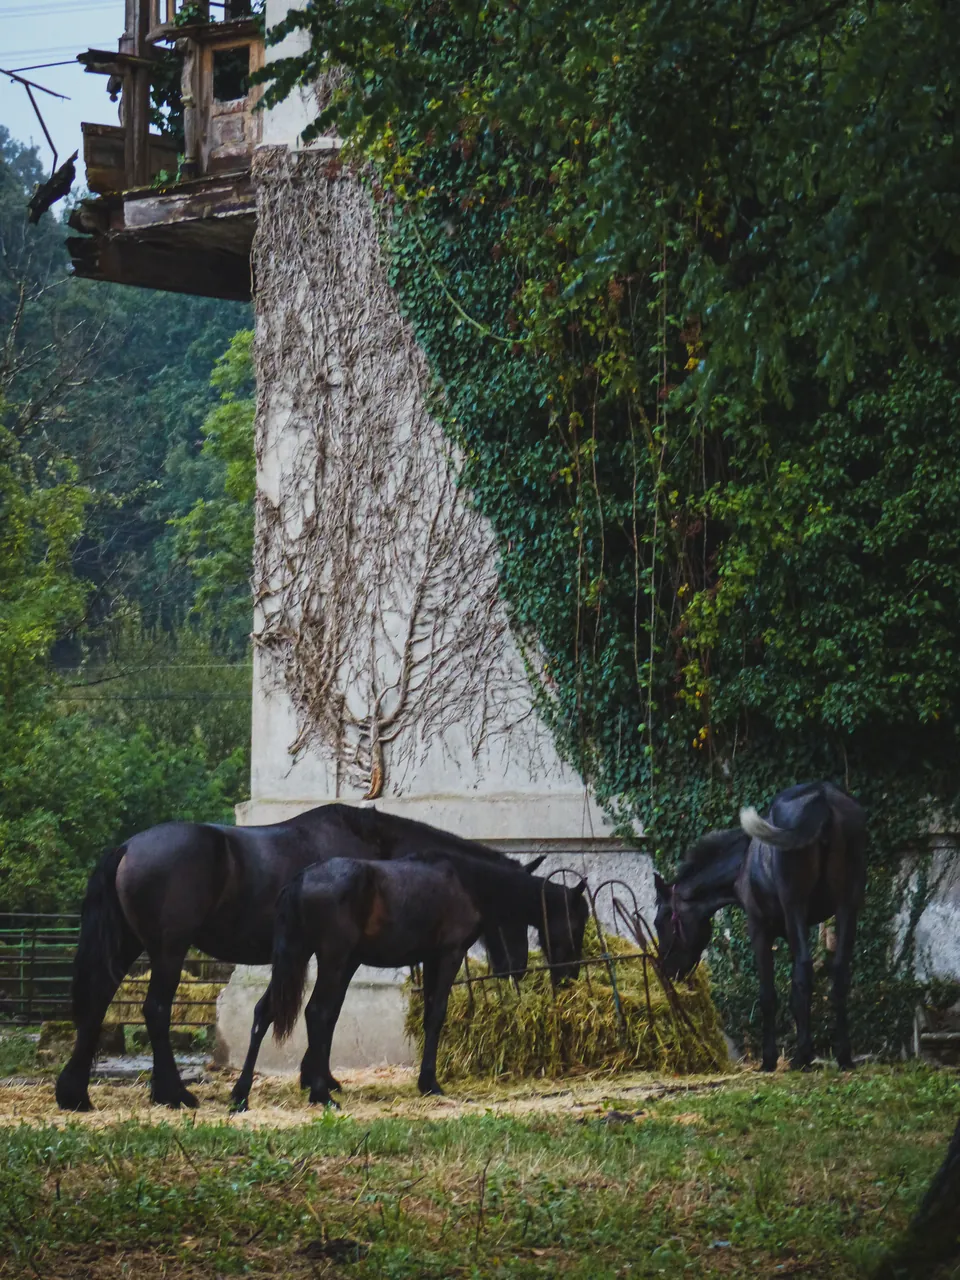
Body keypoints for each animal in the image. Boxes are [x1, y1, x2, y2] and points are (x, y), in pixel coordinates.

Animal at [55, 804, 543, 1112]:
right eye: (515, 911)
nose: (517, 966)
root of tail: (128, 848)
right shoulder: (340, 956)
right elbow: (326, 1011)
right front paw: (317, 1079)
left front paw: (317, 1078)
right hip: (169, 948)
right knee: (155, 1009)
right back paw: (173, 1093)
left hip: (128, 944)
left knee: (97, 1001)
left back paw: (76, 1094)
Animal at [230, 851, 589, 1109]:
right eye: (579, 922)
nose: (569, 976)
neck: (468, 883)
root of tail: (301, 879)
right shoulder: (448, 954)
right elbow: (435, 1015)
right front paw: (429, 1083)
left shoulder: (424, 959)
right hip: (332, 958)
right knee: (316, 1012)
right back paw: (320, 1094)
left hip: (296, 956)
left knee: (267, 1011)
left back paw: (242, 1093)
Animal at [654, 781, 866, 1071]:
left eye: (659, 922)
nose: (666, 971)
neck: (744, 862)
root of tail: (822, 797)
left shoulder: (760, 929)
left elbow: (768, 995)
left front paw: (769, 1059)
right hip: (847, 905)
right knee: (840, 972)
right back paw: (843, 1056)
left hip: (795, 905)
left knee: (805, 969)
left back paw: (802, 1057)